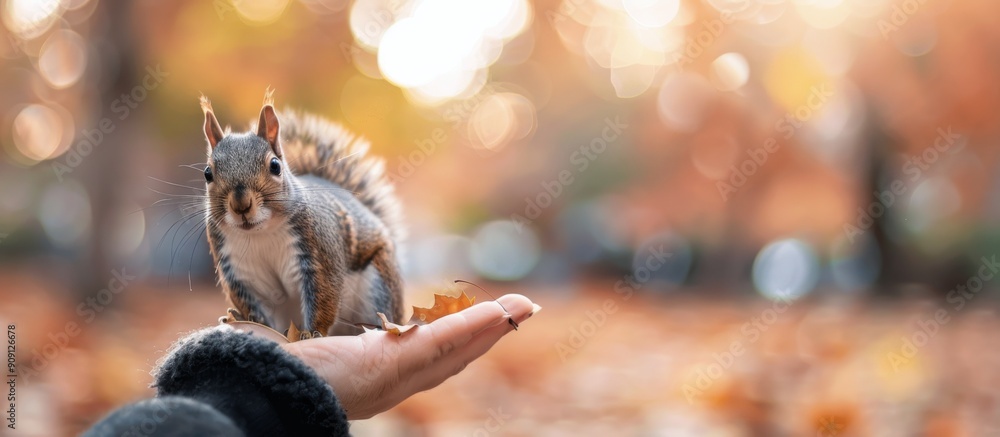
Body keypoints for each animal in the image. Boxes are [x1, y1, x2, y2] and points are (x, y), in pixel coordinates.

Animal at [199, 90, 404, 338]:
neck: (260, 233)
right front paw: (251, 322)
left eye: (275, 166)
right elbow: (258, 310)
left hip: (379, 286)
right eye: (207, 173)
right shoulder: (241, 270)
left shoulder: (318, 254)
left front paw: (312, 333)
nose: (241, 205)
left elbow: (324, 296)